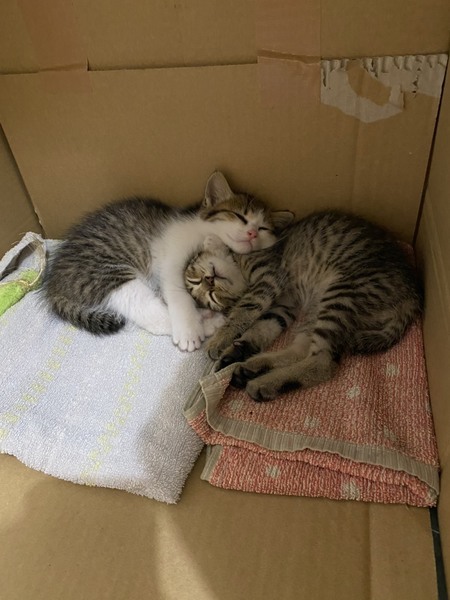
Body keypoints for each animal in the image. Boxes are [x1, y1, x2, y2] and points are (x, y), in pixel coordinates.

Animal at [42, 171, 293, 351]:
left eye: (263, 228)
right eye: (240, 216)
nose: (251, 233)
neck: (201, 229)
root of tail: (53, 282)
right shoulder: (172, 256)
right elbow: (178, 292)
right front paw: (189, 331)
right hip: (109, 275)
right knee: (149, 312)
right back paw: (208, 324)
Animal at [186, 211, 424, 400]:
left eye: (196, 276)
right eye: (209, 296)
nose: (209, 281)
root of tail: (411, 296)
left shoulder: (269, 280)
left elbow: (245, 310)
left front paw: (219, 340)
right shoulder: (285, 303)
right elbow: (264, 325)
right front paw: (240, 346)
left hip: (340, 294)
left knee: (323, 363)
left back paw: (265, 382)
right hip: (320, 308)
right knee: (303, 350)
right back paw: (252, 367)